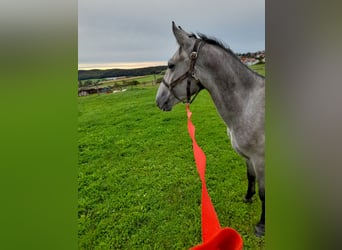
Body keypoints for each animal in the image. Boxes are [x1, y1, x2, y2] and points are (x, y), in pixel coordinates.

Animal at [156, 21, 266, 236]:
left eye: (171, 65)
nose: (158, 100)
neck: (247, 104)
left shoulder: (260, 160)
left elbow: (263, 192)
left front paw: (261, 226)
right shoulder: (248, 158)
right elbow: (250, 177)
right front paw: (247, 197)